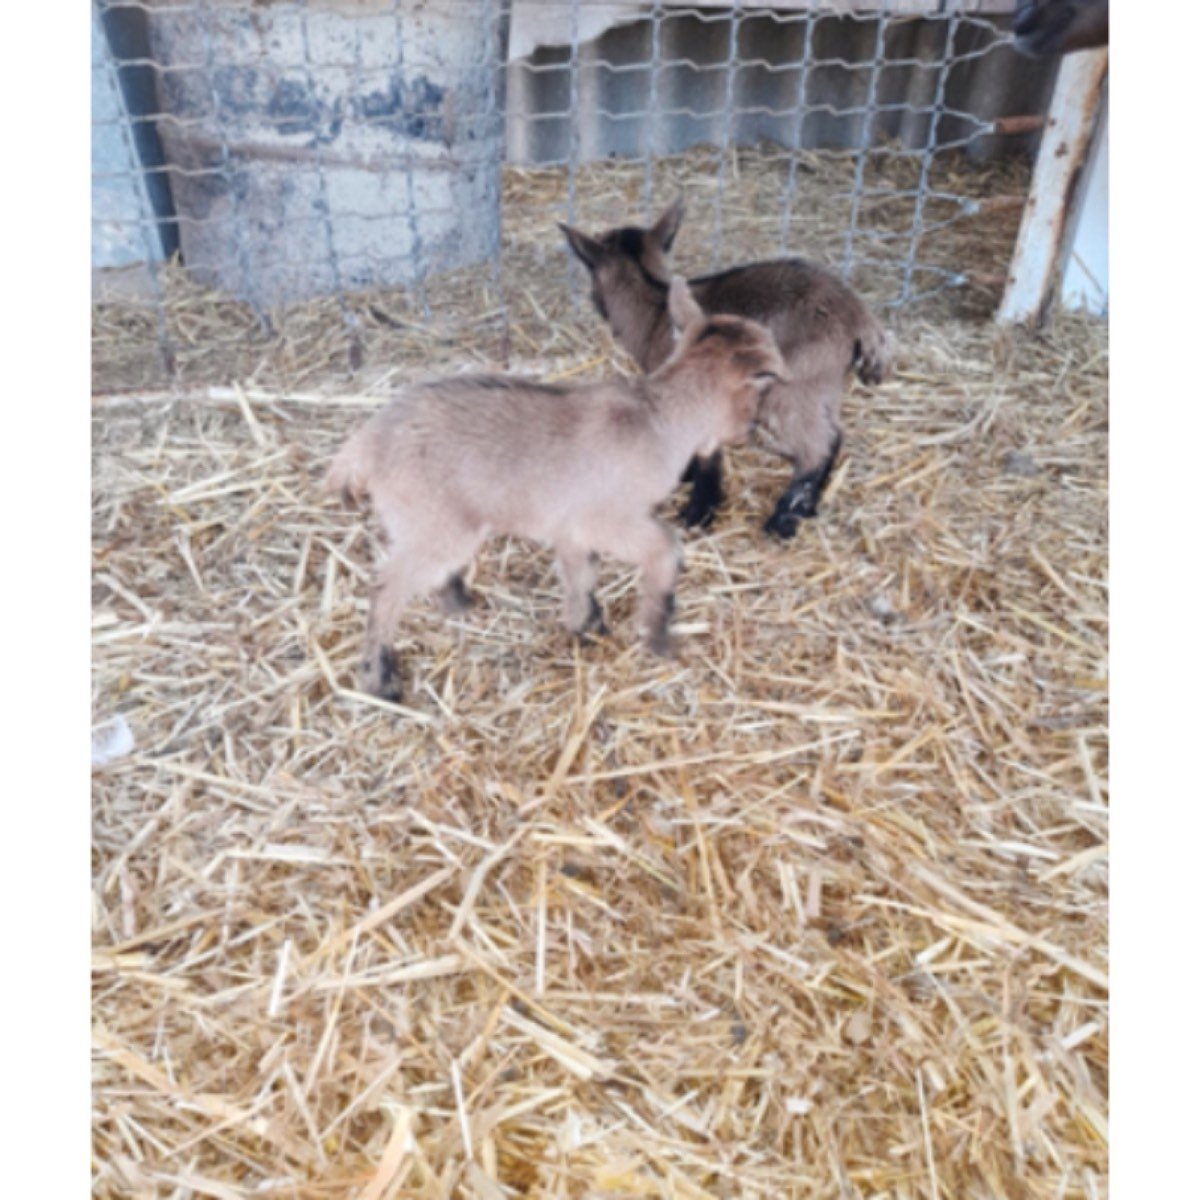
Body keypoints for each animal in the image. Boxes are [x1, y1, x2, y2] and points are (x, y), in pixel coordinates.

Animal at [326, 277, 789, 700]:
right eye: (761, 388)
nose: (750, 430)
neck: (660, 419)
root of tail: (365, 444)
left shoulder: (570, 526)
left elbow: (580, 573)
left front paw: (588, 627)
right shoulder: (607, 518)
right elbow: (664, 550)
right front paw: (658, 634)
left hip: (425, 525)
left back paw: (456, 602)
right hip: (437, 526)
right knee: (385, 588)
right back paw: (380, 680)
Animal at [561, 198, 892, 539]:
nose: (595, 302)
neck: (655, 306)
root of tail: (857, 314)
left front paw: (698, 512)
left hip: (792, 383)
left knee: (817, 444)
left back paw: (784, 518)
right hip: (822, 383)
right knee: (834, 434)